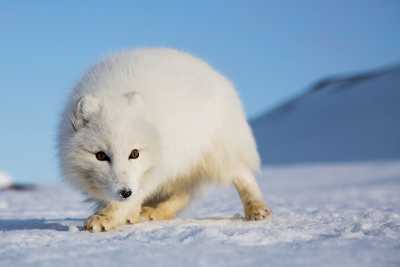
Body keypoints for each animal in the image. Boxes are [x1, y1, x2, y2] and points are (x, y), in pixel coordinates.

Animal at [57, 48, 272, 232]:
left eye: (134, 153)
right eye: (100, 156)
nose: (125, 192)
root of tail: (216, 74)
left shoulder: (154, 170)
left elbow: (132, 197)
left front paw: (106, 217)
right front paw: (124, 213)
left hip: (215, 153)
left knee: (242, 175)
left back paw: (256, 208)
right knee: (184, 193)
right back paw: (153, 211)